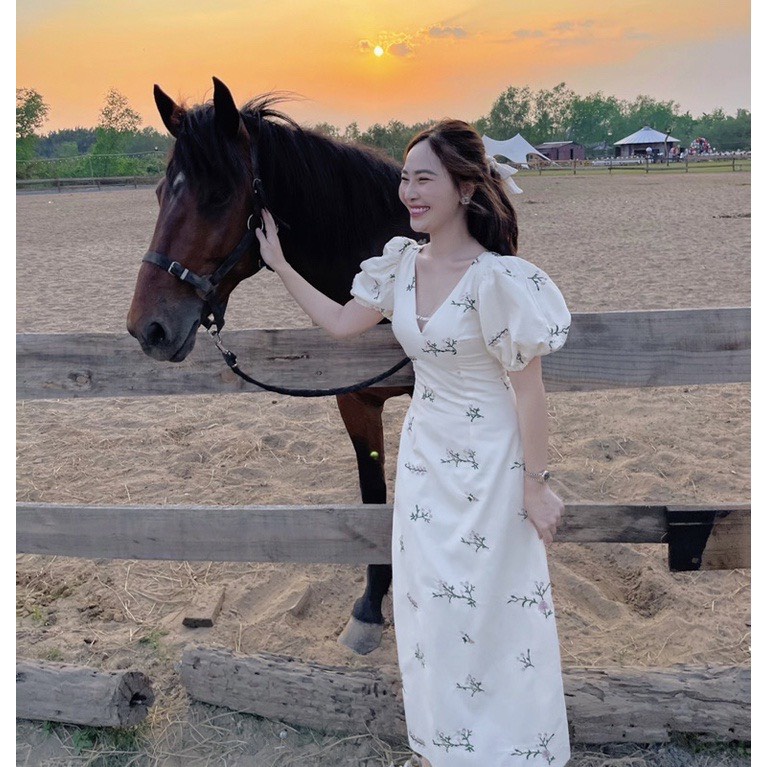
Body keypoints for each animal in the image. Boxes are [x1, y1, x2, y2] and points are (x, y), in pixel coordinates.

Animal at [127, 77, 416, 655]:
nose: (147, 328)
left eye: (219, 195)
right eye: (159, 192)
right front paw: (371, 607)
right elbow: (374, 498)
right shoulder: (356, 402)